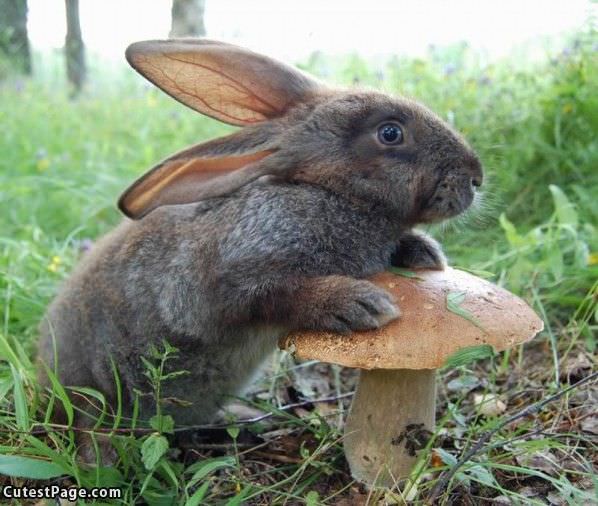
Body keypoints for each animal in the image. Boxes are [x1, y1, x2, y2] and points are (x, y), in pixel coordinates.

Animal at [37, 38, 486, 458]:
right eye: (390, 133)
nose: (476, 176)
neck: (330, 194)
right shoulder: (222, 282)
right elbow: (277, 295)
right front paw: (360, 304)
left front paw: (424, 253)